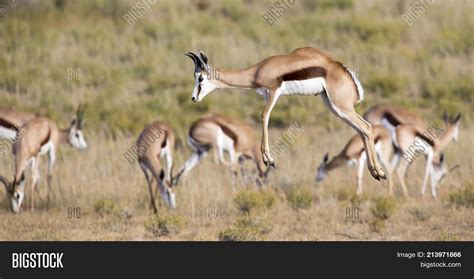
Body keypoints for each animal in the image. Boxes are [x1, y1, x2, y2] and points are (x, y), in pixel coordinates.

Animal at [183, 46, 386, 180]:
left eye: (200, 78)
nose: (193, 98)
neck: (257, 71)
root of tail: (345, 72)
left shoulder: (273, 92)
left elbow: (264, 117)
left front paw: (269, 159)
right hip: (334, 107)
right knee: (362, 130)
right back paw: (376, 172)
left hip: (341, 107)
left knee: (366, 128)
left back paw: (380, 172)